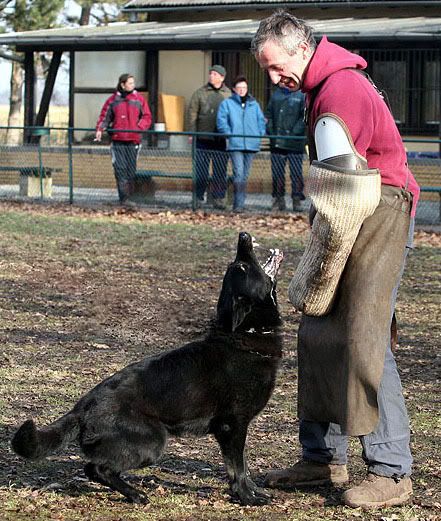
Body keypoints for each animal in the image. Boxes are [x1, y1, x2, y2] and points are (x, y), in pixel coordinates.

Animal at [12, 232, 286, 504]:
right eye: (240, 267)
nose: (243, 235)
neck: (244, 335)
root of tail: (83, 407)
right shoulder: (232, 426)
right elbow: (236, 466)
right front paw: (246, 497)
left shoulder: (235, 429)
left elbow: (244, 465)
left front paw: (253, 490)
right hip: (153, 442)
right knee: (96, 468)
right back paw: (137, 495)